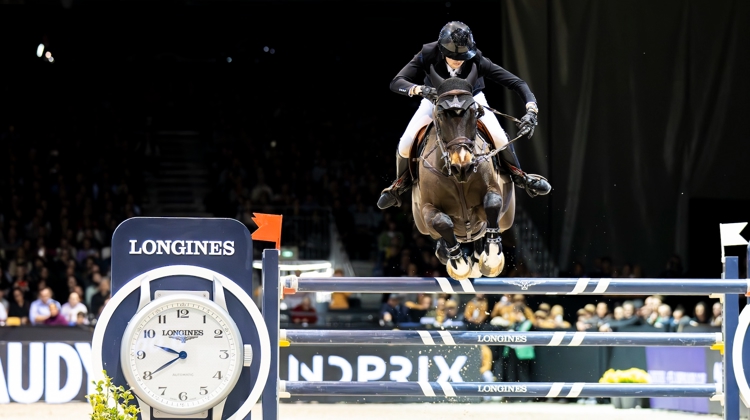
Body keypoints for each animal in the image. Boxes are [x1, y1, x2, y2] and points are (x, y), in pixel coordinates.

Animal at [412, 64, 516, 280]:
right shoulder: (426, 209)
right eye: (441, 115)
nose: (463, 166)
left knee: (481, 232)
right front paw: (459, 264)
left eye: (475, 113)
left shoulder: (492, 195)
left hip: (505, 219)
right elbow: (442, 222)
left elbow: (492, 203)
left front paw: (491, 259)